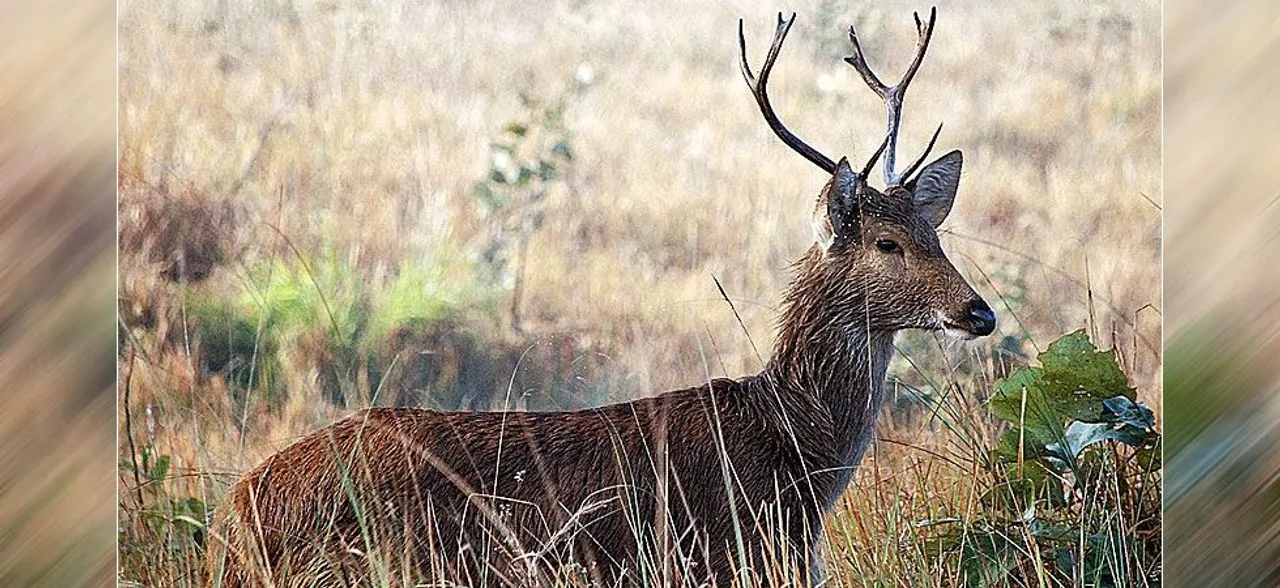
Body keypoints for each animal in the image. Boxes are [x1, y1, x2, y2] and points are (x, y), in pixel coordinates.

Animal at [204, 9, 993, 588]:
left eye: (935, 231)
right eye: (887, 244)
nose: (979, 312)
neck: (795, 452)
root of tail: (235, 513)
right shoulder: (726, 554)